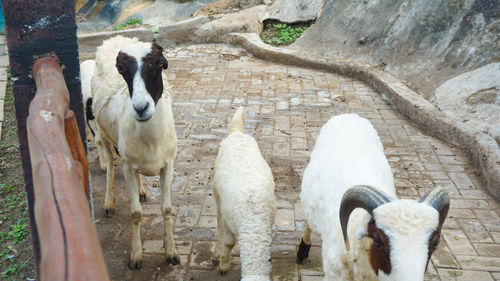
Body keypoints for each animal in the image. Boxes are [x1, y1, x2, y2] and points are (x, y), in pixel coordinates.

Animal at [85, 36, 179, 268]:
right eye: (122, 70)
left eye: (158, 64)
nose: (141, 108)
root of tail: (114, 38)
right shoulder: (127, 167)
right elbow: (135, 213)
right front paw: (136, 256)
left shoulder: (168, 165)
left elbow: (167, 209)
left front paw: (171, 252)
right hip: (104, 134)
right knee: (110, 165)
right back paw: (109, 204)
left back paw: (142, 191)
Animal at [212, 106, 278, 278]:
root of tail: (236, 132)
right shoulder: (229, 221)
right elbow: (229, 243)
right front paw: (224, 265)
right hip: (217, 194)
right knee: (218, 221)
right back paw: (216, 253)